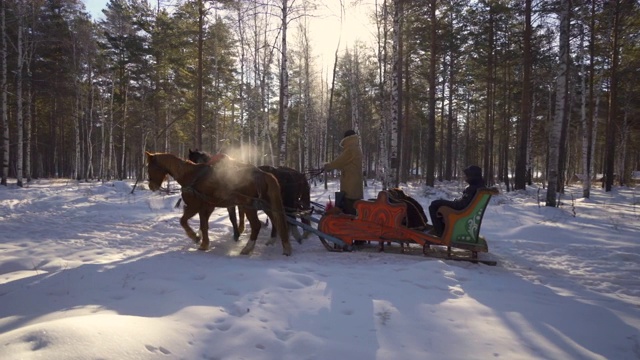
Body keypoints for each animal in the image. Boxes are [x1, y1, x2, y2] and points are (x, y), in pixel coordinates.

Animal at [146, 151, 292, 256]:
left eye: (149, 167)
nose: (151, 186)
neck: (191, 176)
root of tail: (262, 174)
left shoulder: (195, 206)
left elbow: (183, 221)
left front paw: (195, 238)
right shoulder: (207, 207)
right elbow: (204, 225)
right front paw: (204, 243)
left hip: (249, 206)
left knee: (256, 225)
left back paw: (247, 248)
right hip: (266, 205)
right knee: (277, 221)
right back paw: (282, 245)